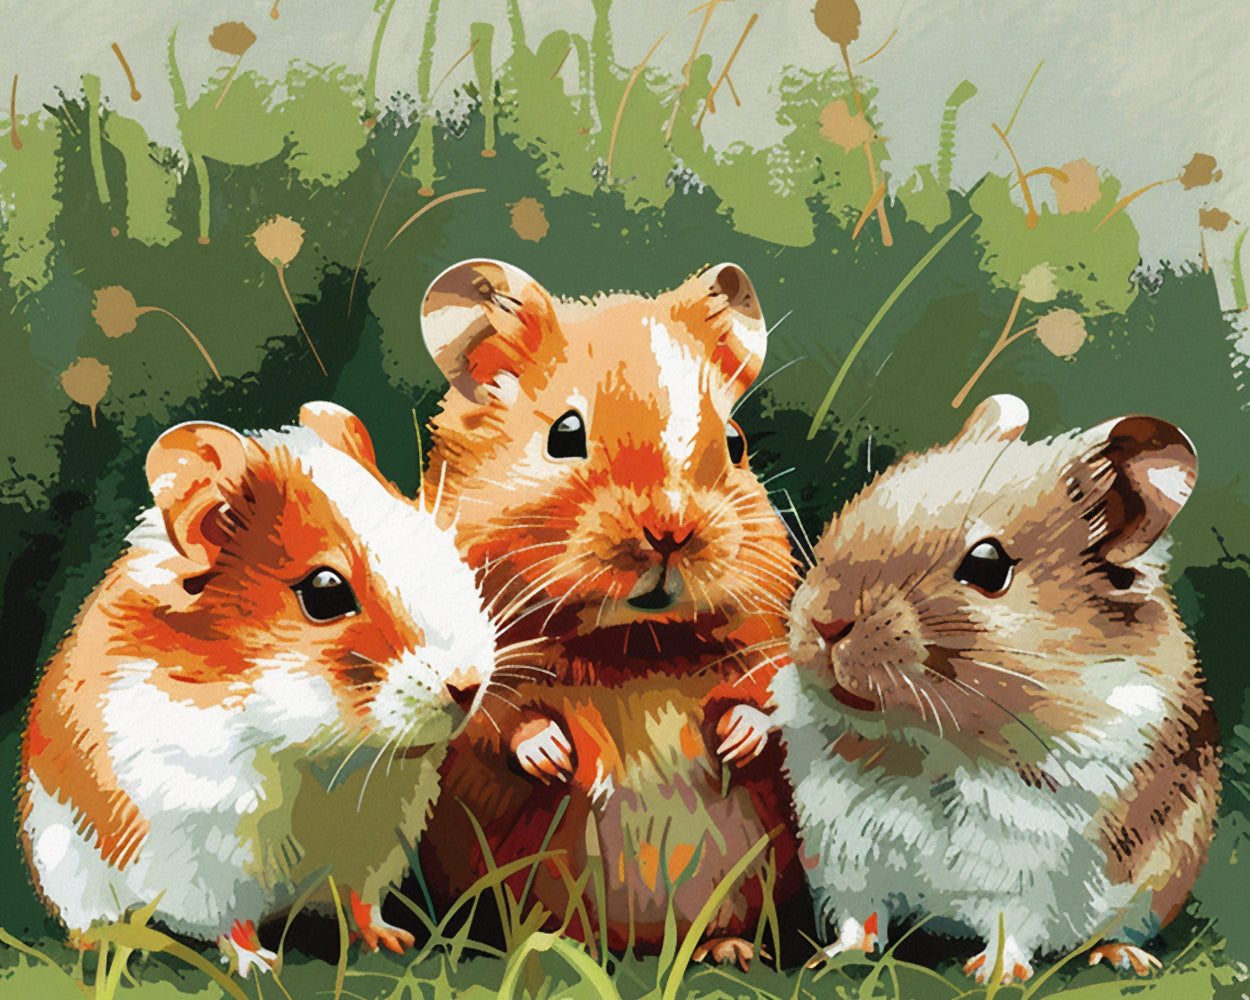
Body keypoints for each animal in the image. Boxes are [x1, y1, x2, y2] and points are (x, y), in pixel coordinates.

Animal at [19, 402, 496, 976]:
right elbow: (230, 923)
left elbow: (362, 900)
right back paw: (108, 946)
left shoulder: (376, 836)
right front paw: (261, 968)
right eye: (325, 592)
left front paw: (395, 942)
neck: (311, 752)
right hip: (64, 866)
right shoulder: (205, 848)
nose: (468, 685)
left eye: (434, 542)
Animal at [415, 259, 803, 964]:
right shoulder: (467, 674)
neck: (634, 642)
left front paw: (734, 740)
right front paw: (560, 761)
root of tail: (640, 944)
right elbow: (504, 721)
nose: (671, 530)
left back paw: (728, 952)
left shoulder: (766, 641)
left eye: (734, 444)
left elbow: (766, 702)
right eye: (564, 435)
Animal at [776, 394, 1220, 983]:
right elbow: (859, 915)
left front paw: (992, 976)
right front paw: (832, 961)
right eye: (856, 506)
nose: (824, 622)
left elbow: (1011, 924)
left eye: (987, 568)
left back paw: (1124, 959)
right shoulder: (844, 850)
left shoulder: (1030, 862)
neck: (921, 745)